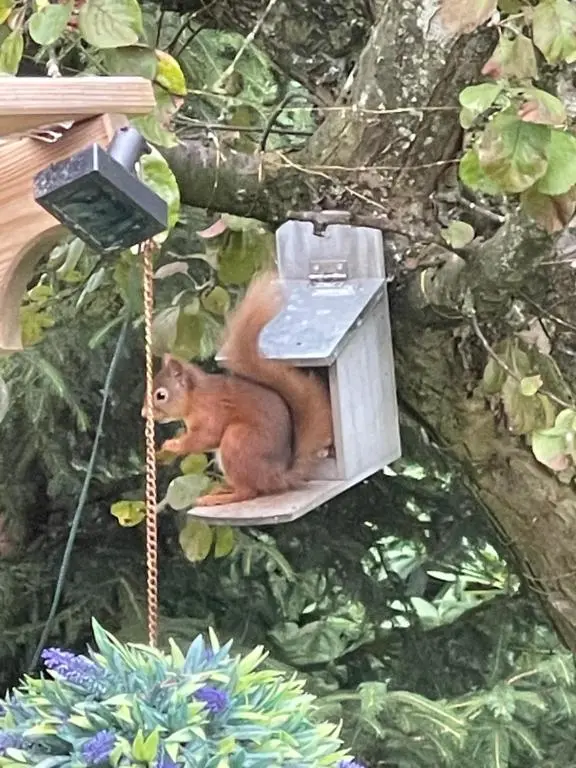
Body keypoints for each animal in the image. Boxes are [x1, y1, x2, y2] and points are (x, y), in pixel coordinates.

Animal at [144, 271, 333, 507]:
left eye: (161, 395)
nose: (144, 414)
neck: (195, 397)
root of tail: (277, 476)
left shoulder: (211, 411)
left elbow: (206, 436)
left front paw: (173, 445)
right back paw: (221, 489)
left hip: (237, 441)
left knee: (248, 491)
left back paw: (218, 498)